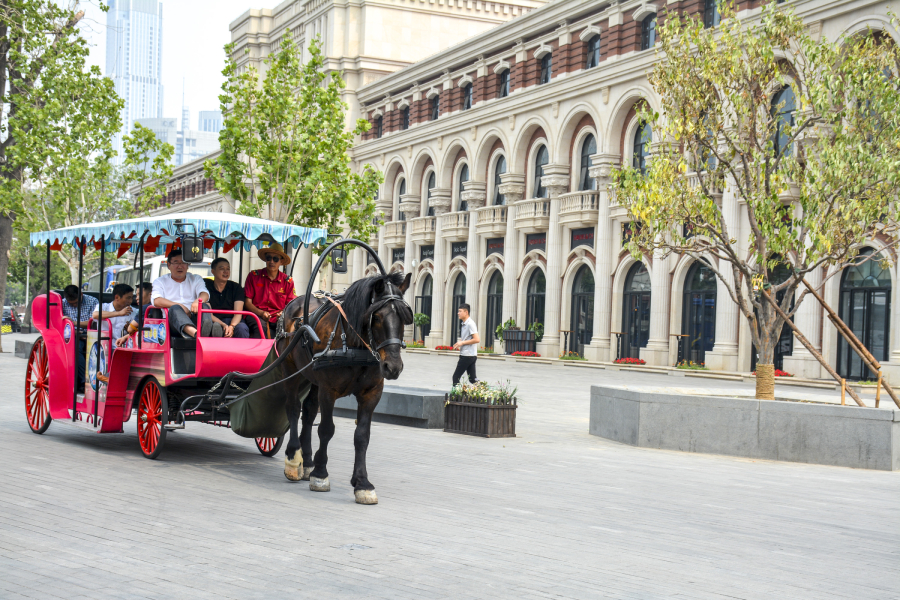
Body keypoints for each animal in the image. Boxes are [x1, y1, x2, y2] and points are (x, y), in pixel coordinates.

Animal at [276, 270, 414, 502]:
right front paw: (320, 474)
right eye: (377, 317)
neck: (353, 344)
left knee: (309, 412)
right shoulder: (328, 391)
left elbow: (362, 436)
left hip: (312, 378)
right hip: (290, 370)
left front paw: (362, 483)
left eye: (405, 317)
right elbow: (326, 429)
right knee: (293, 409)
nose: (393, 367)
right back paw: (294, 459)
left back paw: (307, 461)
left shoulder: (371, 393)